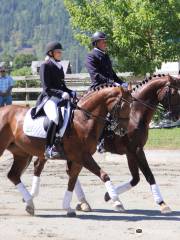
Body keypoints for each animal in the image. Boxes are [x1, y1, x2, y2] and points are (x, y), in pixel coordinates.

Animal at [0, 84, 132, 216]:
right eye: (123, 106)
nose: (123, 130)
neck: (84, 119)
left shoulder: (78, 159)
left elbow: (72, 180)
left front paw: (68, 207)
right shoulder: (82, 156)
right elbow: (103, 175)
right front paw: (117, 202)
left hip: (22, 153)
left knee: (14, 175)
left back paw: (30, 204)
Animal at [102, 74, 180, 213]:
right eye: (173, 93)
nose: (177, 116)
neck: (135, 114)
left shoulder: (130, 152)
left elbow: (135, 179)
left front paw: (109, 196)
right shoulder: (137, 150)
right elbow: (149, 175)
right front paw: (162, 203)